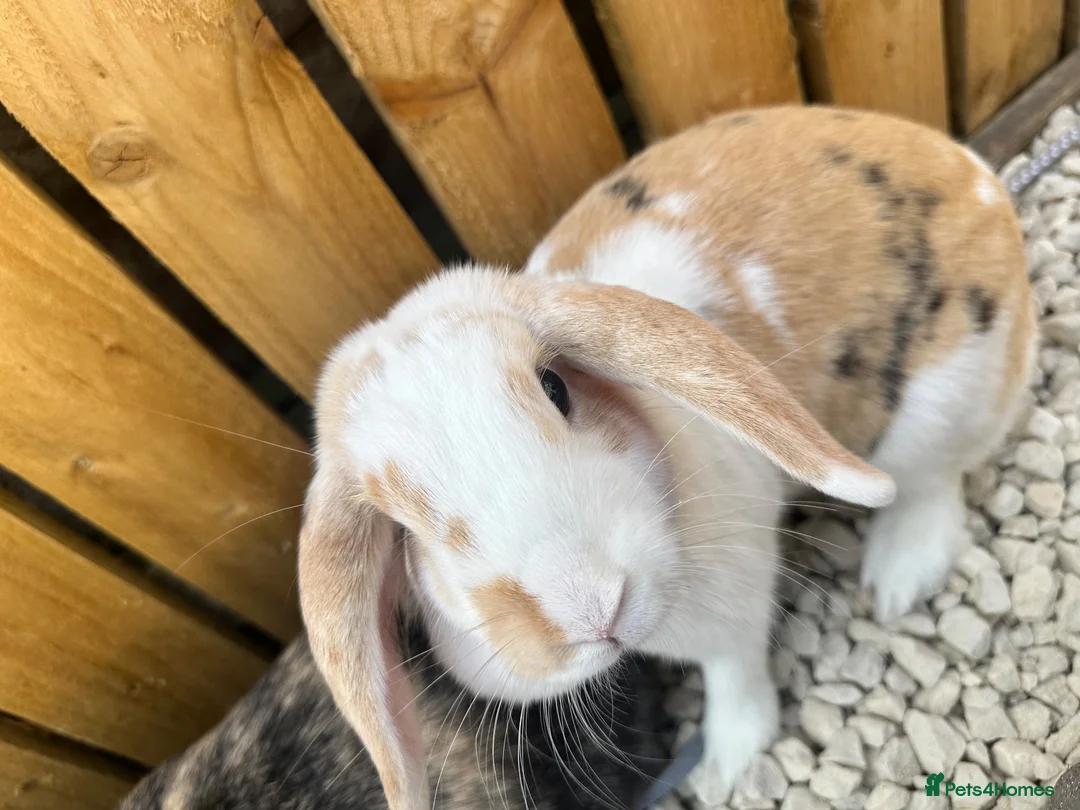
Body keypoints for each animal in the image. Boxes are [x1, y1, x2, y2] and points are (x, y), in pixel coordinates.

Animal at [298, 104, 1035, 808]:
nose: (589, 606)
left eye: (555, 386)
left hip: (941, 408)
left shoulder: (735, 607)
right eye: (406, 527)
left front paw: (729, 767)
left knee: (933, 483)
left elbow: (735, 674)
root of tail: (974, 173)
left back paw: (896, 578)